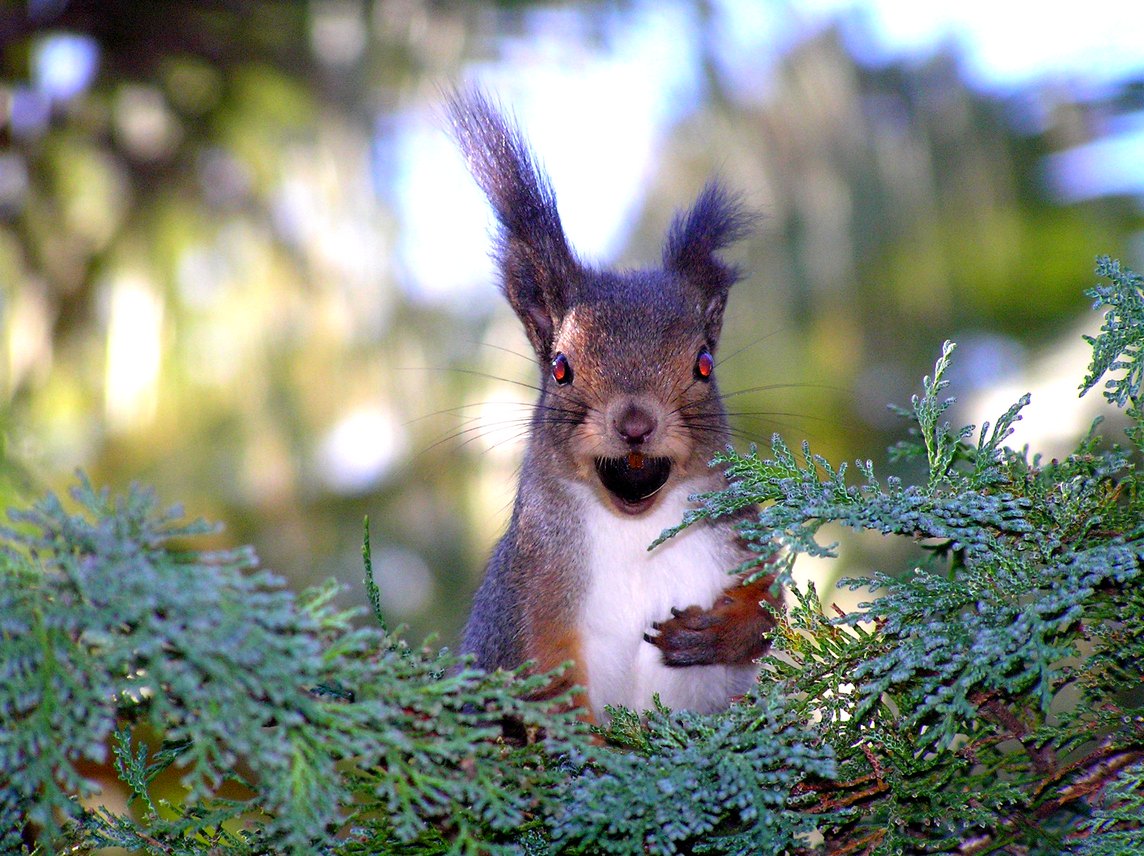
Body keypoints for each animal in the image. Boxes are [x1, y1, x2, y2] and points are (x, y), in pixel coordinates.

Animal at [443, 92, 777, 723]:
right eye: (560, 367)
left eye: (704, 364)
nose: (635, 424)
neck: (635, 529)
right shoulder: (531, 589)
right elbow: (548, 680)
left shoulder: (740, 537)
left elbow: (770, 608)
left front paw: (714, 634)